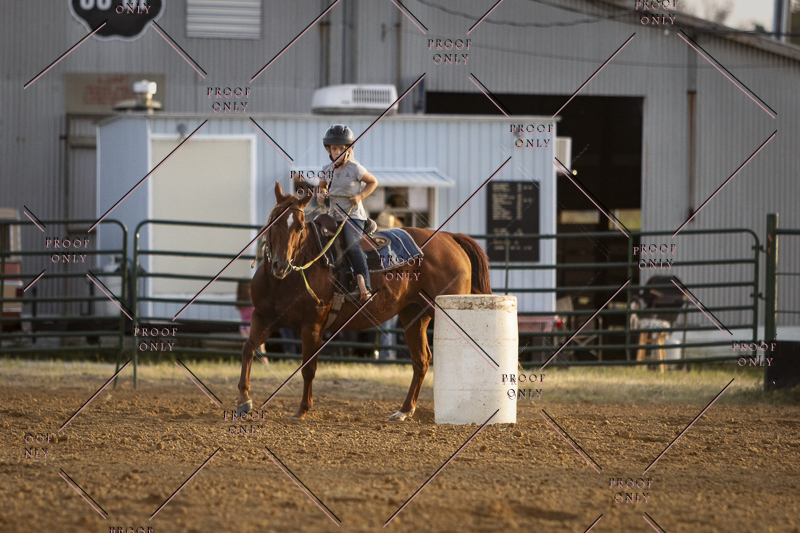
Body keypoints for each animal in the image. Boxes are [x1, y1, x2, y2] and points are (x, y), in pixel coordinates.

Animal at [237, 182, 492, 421]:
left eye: (299, 227)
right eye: (273, 222)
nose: (280, 265)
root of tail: (450, 238)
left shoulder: (312, 326)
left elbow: (308, 368)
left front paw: (302, 410)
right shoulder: (263, 317)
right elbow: (248, 349)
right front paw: (243, 401)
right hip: (414, 315)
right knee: (421, 360)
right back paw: (404, 411)